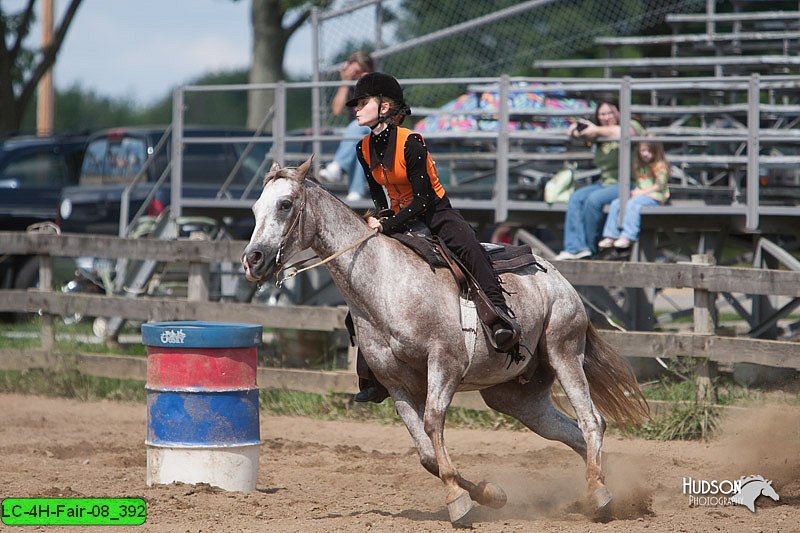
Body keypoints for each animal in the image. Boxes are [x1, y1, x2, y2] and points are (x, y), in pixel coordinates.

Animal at [242, 159, 648, 524]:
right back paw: (599, 486)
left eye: (285, 204)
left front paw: (458, 501)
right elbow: (425, 453)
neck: (385, 284)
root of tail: (558, 279)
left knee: (592, 421)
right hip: (516, 397)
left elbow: (433, 422)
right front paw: (488, 493)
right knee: (572, 433)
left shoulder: (445, 363)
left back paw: (600, 497)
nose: (252, 260)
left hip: (565, 352)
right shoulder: (396, 383)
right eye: (255, 209)